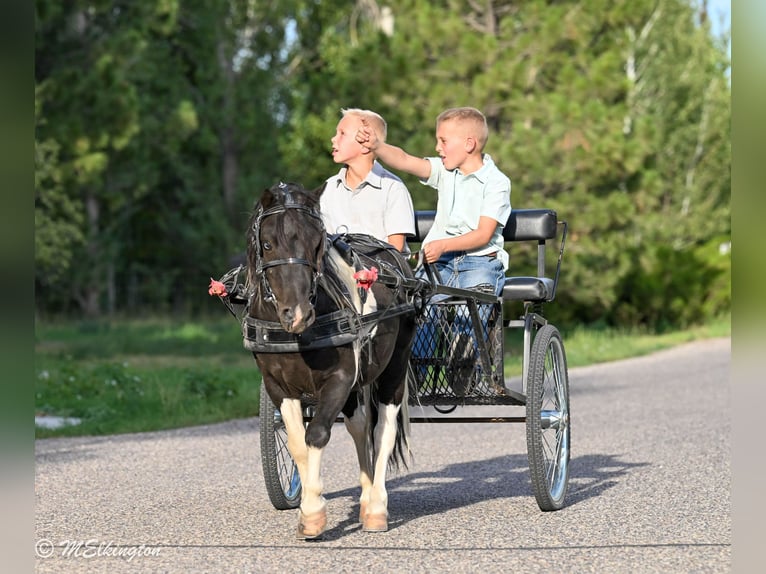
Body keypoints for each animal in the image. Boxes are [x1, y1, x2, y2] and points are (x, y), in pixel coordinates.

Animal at [244, 181, 418, 539]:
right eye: (267, 244)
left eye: (317, 243)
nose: (297, 314)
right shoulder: (278, 387)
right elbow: (298, 443)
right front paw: (308, 506)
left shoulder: (339, 378)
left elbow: (318, 434)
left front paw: (312, 513)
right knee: (359, 425)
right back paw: (365, 498)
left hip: (394, 367)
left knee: (383, 429)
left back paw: (377, 507)